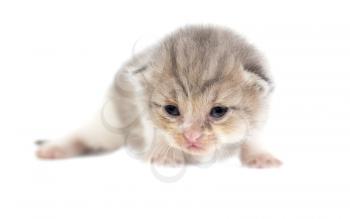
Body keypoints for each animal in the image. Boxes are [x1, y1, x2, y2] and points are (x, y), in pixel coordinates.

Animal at [35, 26, 282, 169]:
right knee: (82, 135)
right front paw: (165, 155)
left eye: (218, 111)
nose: (192, 136)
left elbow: (254, 137)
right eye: (171, 110)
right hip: (109, 124)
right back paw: (53, 149)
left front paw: (260, 156)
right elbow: (157, 133)